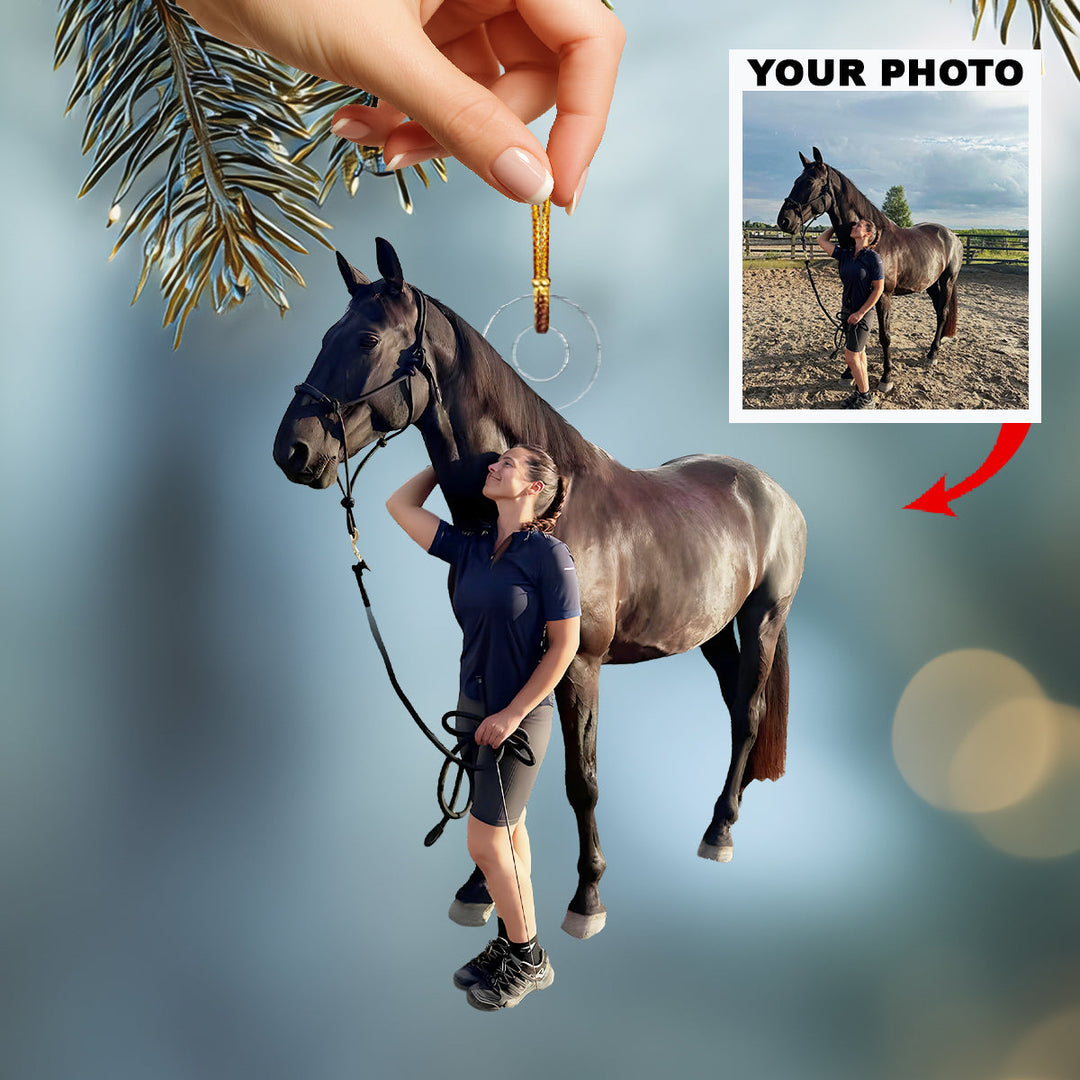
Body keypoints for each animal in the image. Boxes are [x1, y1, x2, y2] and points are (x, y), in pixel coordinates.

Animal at [273, 238, 807, 939]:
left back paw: (720, 830)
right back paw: (730, 808)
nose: (292, 450)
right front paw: (480, 889)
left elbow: (582, 782)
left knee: (747, 713)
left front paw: (587, 898)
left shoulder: (578, 666)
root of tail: (771, 489)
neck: (547, 511)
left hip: (762, 618)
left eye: (366, 339)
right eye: (326, 336)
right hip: (713, 632)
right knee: (738, 709)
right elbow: (486, 766)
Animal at [776, 146, 963, 393]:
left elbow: (885, 336)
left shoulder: (883, 295)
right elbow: (850, 329)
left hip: (947, 281)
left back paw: (933, 354)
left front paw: (886, 377)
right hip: (931, 284)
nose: (784, 221)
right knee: (939, 313)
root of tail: (952, 235)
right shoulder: (850, 291)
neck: (874, 243)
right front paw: (848, 374)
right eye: (796, 181)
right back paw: (936, 345)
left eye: (809, 182)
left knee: (942, 312)